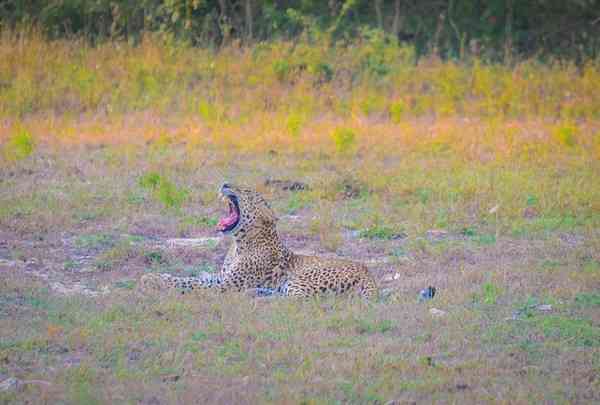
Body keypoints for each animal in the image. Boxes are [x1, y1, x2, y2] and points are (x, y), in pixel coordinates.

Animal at [138, 182, 378, 296]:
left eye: (245, 191)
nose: (225, 182)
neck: (239, 244)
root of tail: (368, 273)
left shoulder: (227, 285)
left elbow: (189, 284)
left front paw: (151, 280)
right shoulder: (221, 278)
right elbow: (190, 278)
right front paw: (155, 276)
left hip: (301, 280)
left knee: (297, 299)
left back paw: (256, 294)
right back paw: (257, 292)